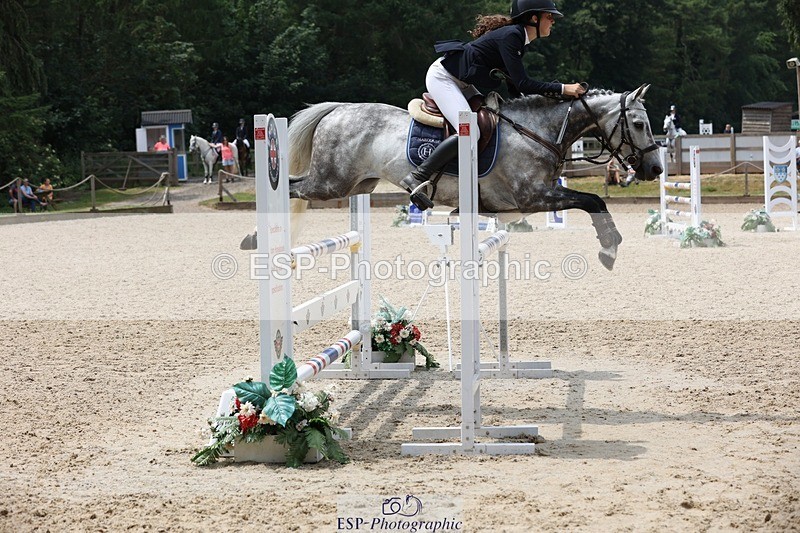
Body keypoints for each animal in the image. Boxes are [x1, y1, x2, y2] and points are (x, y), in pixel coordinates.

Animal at [283, 85, 662, 270]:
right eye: (638, 124)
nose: (655, 169)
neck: (537, 131)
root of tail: (339, 108)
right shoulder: (533, 196)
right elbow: (592, 200)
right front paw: (609, 248)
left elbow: (592, 201)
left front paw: (610, 246)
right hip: (329, 182)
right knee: (291, 188)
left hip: (356, 184)